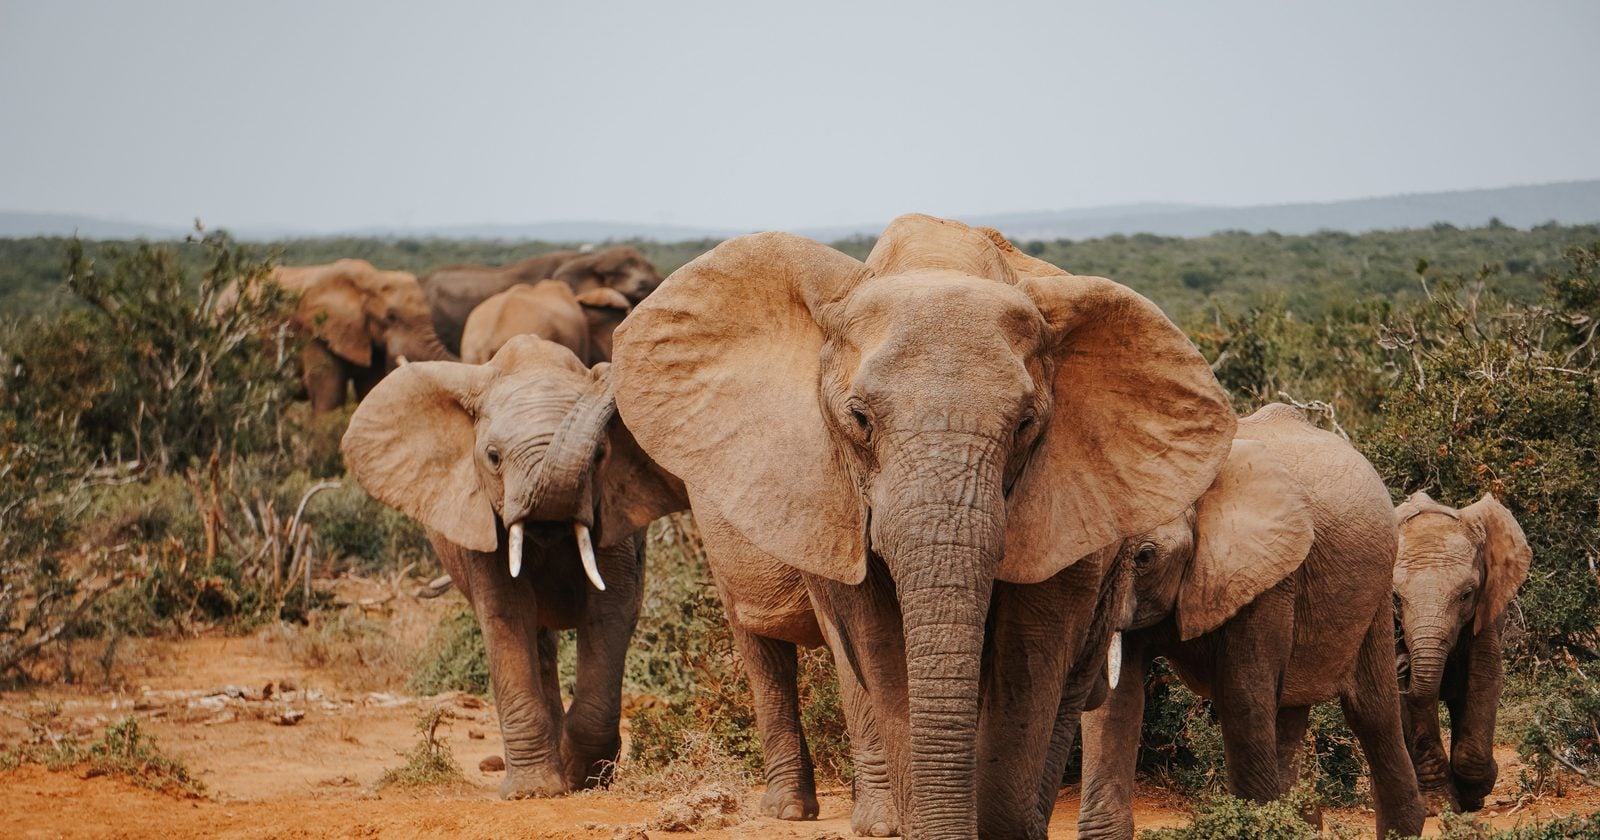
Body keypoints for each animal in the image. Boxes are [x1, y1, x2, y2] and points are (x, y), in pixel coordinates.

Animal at [340, 335, 685, 798]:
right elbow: (506, 613)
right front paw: (534, 792)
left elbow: (610, 610)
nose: (605, 373)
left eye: (600, 455)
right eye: (493, 457)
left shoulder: (613, 513)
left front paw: (583, 780)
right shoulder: (480, 517)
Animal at [611, 213, 1237, 839]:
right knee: (764, 649)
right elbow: (880, 650)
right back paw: (795, 810)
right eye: (859, 419)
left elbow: (1031, 653)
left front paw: (1002, 828)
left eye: (1026, 425)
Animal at [1077, 404, 1427, 840]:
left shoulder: (1269, 575)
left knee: (1371, 711)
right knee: (1290, 712)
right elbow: (1117, 699)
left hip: (1376, 588)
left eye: (1144, 556)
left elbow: (1241, 694)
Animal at [1393, 491, 1530, 813]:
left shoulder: (1488, 606)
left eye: (1466, 595)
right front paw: (1438, 805)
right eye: (1395, 598)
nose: (1402, 663)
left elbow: (1484, 677)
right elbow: (1414, 702)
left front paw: (1476, 791)